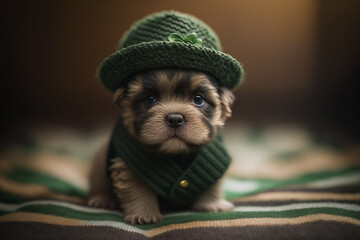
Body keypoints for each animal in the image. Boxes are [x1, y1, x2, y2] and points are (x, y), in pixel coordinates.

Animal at [87, 68, 236, 225]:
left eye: (198, 99)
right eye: (149, 99)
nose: (175, 119)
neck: (175, 152)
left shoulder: (215, 161)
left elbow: (212, 183)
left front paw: (212, 205)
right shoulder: (129, 166)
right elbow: (138, 190)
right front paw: (144, 215)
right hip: (100, 163)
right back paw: (102, 199)